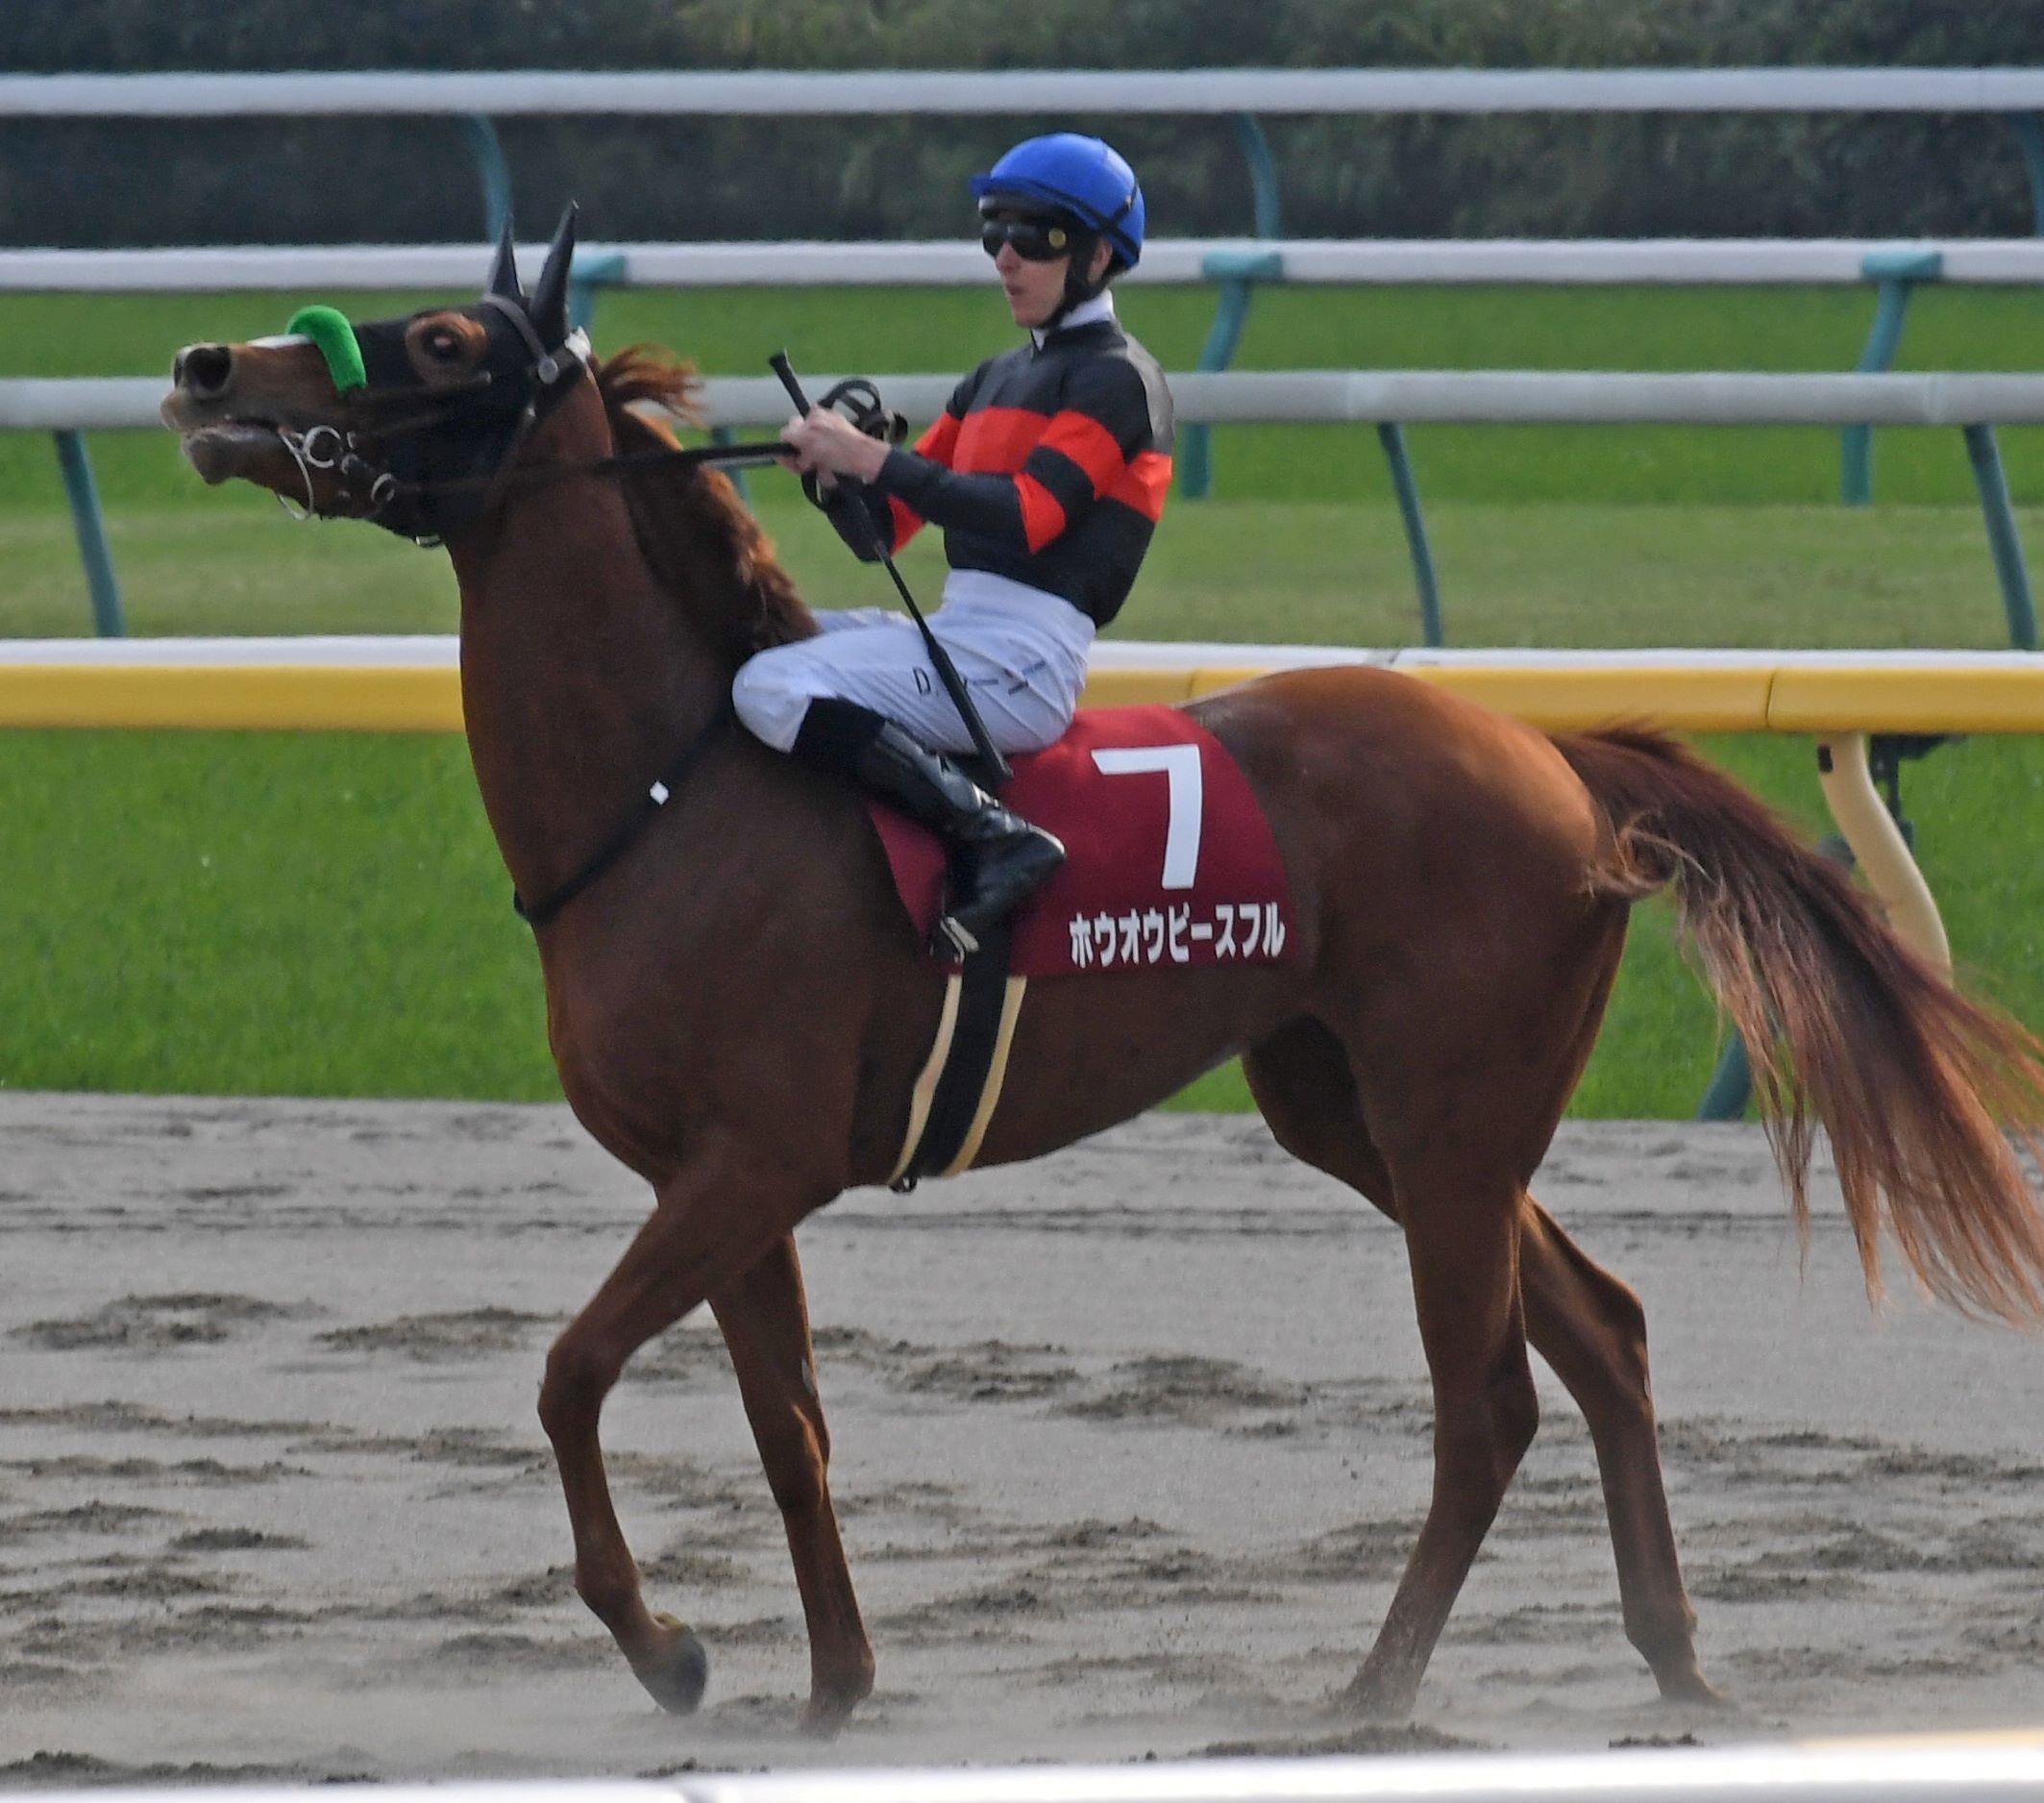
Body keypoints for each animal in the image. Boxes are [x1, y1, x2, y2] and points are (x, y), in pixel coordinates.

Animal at [155, 217, 2044, 1733]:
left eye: (445, 343)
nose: (201, 364)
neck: (677, 781)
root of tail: (1554, 757)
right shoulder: (727, 1183)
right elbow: (787, 1427)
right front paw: (830, 1686)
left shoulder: (748, 1163)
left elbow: (565, 1374)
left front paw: (671, 1651)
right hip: (1360, 1112)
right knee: (1603, 1331)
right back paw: (1670, 1659)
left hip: (1447, 1121)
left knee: (1490, 1398)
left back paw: (1371, 1691)